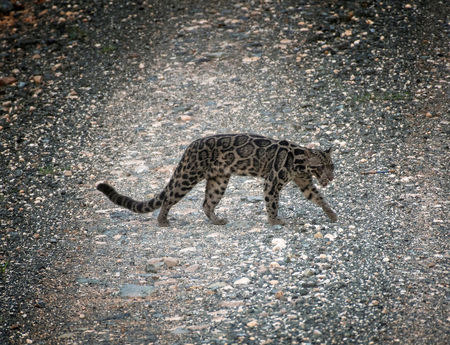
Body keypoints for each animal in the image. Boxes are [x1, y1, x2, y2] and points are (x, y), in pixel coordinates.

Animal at [98, 134, 338, 226]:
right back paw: (163, 220)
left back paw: (216, 220)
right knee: (168, 198)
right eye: (320, 167)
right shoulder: (272, 182)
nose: (331, 177)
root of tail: (189, 147)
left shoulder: (305, 182)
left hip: (218, 181)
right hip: (188, 176)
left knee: (206, 203)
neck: (300, 163)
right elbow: (272, 202)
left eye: (332, 166)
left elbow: (318, 197)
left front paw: (331, 214)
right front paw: (274, 220)